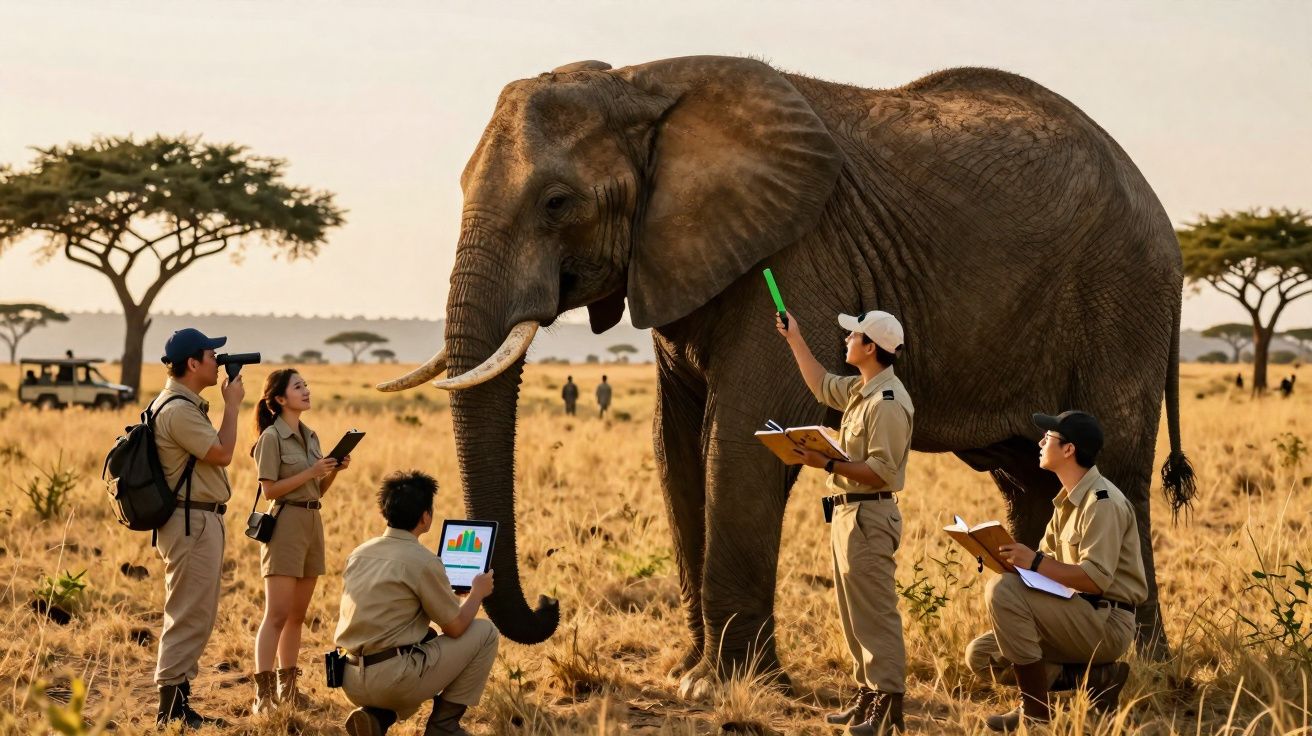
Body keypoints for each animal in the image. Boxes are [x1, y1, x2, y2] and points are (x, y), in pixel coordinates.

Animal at [377, 55, 1194, 692]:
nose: (548, 606)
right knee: (1027, 479)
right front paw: (691, 670)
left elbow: (737, 440)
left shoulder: (794, 258)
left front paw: (723, 686)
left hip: (1123, 292)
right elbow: (675, 449)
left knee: (1116, 468)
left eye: (556, 203)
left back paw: (1135, 670)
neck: (643, 87)